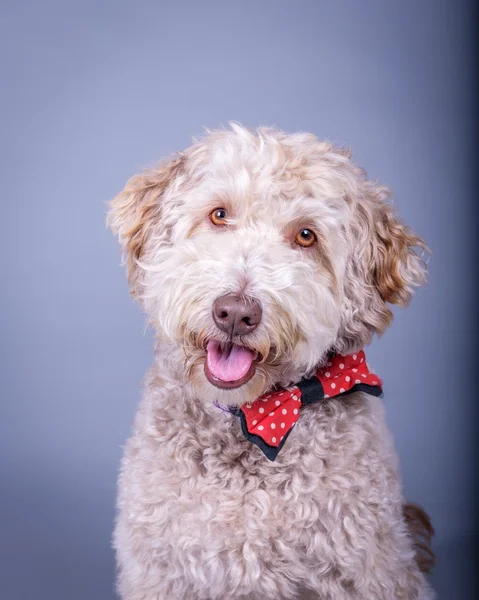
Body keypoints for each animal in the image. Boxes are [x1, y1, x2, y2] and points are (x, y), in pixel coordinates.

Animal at [108, 123, 436, 600]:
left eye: (306, 236)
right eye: (219, 215)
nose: (235, 313)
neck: (252, 420)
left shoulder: (369, 570)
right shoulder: (161, 573)